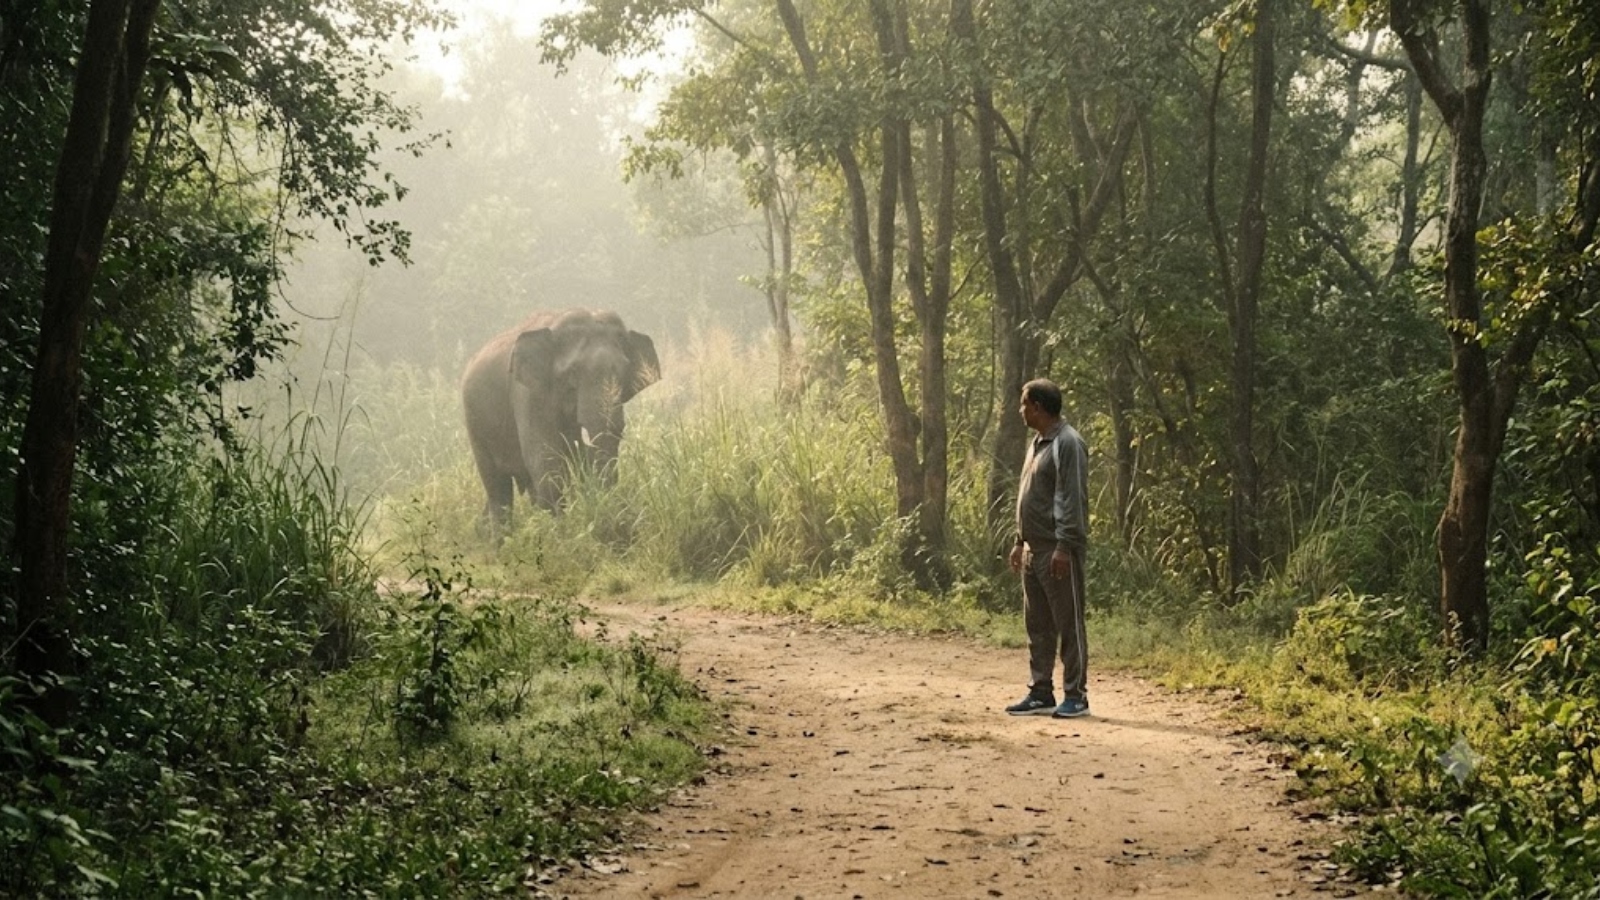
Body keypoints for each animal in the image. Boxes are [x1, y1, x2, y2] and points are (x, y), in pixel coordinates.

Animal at [461, 308, 660, 525]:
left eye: (624, 372)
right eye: (572, 371)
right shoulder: (528, 393)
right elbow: (544, 460)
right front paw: (559, 529)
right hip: (474, 423)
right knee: (498, 489)